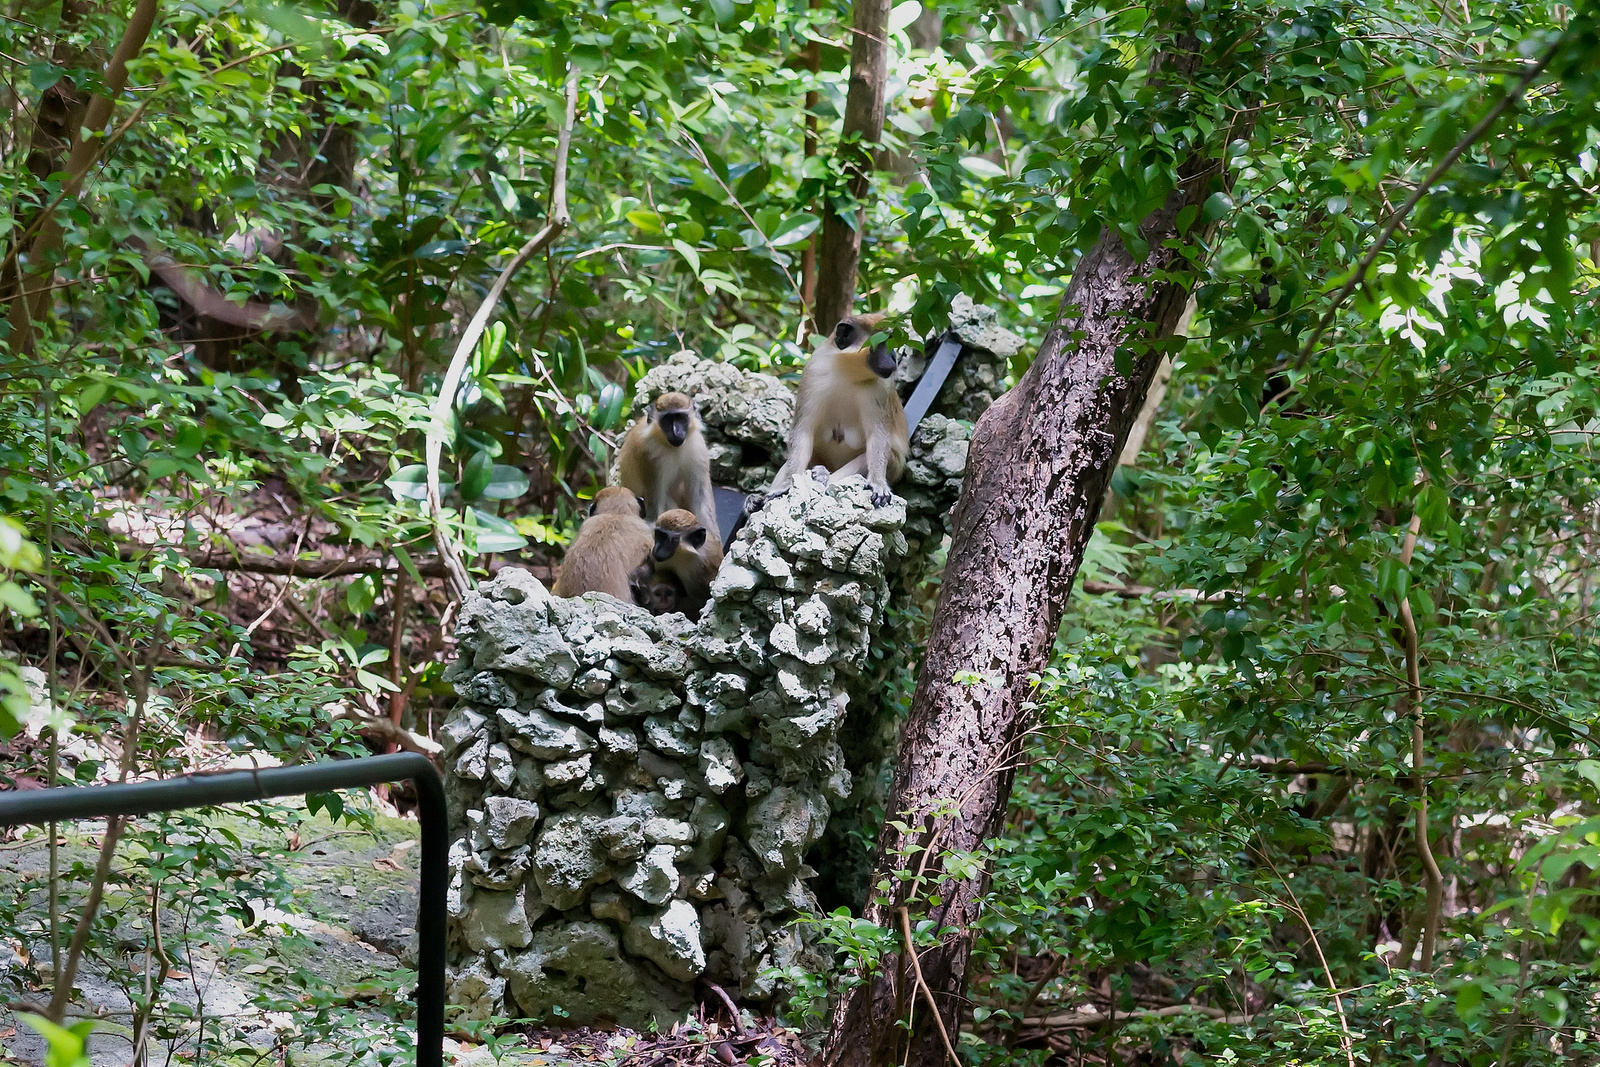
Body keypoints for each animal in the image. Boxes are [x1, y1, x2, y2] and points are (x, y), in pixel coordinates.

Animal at [768, 310, 908, 508]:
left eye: (892, 343)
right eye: (883, 343)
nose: (894, 358)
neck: (847, 371)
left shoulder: (881, 387)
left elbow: (878, 436)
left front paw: (878, 483)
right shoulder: (813, 373)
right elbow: (803, 432)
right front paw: (787, 484)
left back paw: (823, 477)